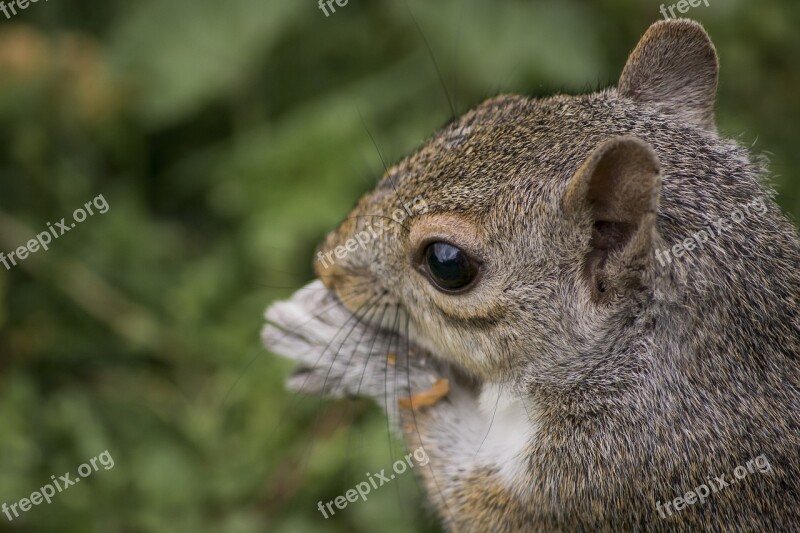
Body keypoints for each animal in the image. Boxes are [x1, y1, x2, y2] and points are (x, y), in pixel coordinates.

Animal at [260, 18, 796, 528]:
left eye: (446, 263)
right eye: (488, 110)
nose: (327, 261)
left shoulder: (606, 477)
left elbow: (472, 499)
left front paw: (363, 356)